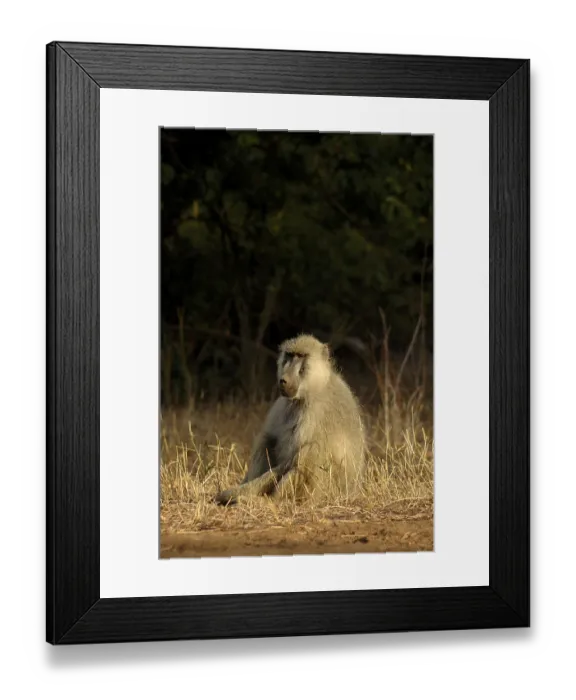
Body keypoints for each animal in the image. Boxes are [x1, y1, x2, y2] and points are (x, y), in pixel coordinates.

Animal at [214, 334, 366, 505]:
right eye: (289, 355)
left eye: (301, 356)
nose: (283, 380)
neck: (313, 386)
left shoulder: (315, 411)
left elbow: (290, 461)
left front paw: (234, 493)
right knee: (267, 440)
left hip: (327, 490)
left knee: (310, 450)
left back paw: (273, 500)